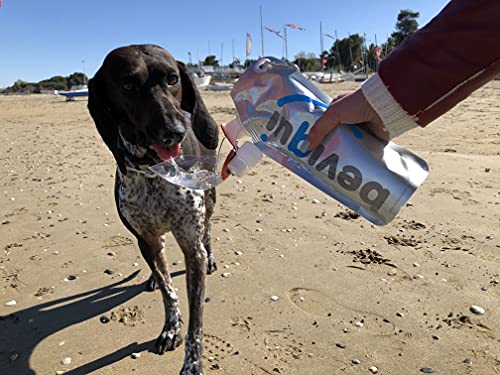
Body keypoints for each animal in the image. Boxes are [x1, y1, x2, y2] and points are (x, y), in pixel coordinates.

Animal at [87, 44, 219, 375]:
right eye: (128, 85)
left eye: (173, 78)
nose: (175, 130)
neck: (153, 171)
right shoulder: (145, 238)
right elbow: (168, 291)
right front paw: (171, 328)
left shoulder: (191, 245)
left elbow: (196, 321)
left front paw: (192, 363)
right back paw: (151, 278)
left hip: (210, 201)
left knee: (209, 230)